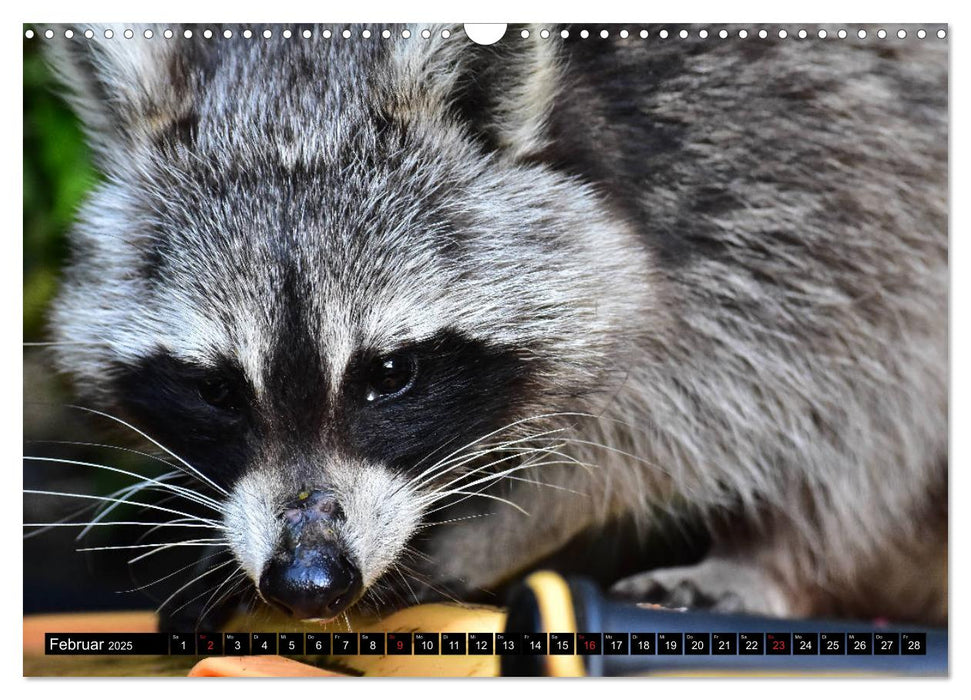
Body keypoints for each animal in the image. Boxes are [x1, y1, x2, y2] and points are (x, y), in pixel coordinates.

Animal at [41, 23, 944, 628]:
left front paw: (509, 524)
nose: (308, 579)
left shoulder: (797, 154)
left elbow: (847, 377)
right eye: (216, 390)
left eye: (389, 375)